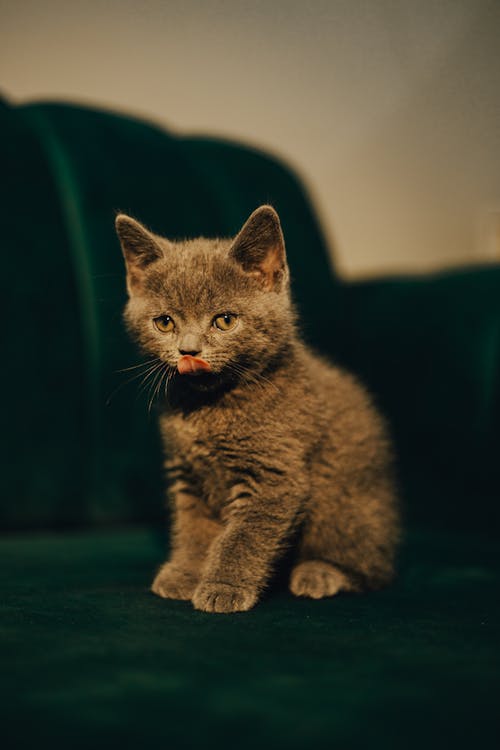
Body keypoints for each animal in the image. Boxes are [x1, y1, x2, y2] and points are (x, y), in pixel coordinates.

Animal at [116, 204, 398, 612]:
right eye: (165, 322)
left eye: (225, 320)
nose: (188, 350)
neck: (209, 408)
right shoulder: (189, 474)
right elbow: (193, 529)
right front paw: (185, 573)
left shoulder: (275, 475)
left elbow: (244, 537)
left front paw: (224, 586)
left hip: (345, 506)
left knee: (372, 566)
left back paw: (320, 572)